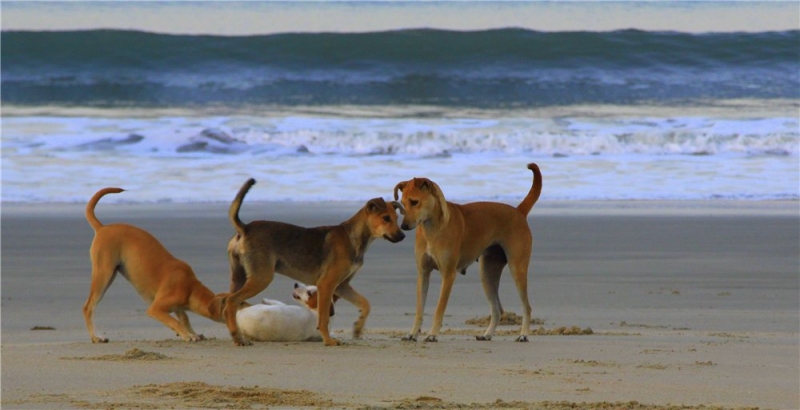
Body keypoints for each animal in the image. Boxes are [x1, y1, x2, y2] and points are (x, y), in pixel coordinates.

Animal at [83, 188, 227, 342]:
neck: (190, 287)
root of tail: (102, 228)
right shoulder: (155, 308)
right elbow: (175, 321)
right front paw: (187, 335)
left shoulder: (177, 307)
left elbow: (184, 318)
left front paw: (193, 333)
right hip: (103, 274)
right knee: (88, 307)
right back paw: (96, 337)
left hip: (110, 275)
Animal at [211, 179, 406, 346]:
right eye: (386, 218)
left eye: (396, 218)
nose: (403, 235)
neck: (354, 237)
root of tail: (245, 228)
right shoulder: (327, 285)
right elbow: (324, 318)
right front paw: (328, 341)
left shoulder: (342, 286)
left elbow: (365, 304)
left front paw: (358, 328)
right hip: (261, 278)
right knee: (231, 302)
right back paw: (238, 338)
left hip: (239, 277)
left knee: (229, 304)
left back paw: (237, 336)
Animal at [394, 163, 544, 342]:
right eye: (402, 204)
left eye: (414, 202)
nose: (403, 226)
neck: (432, 228)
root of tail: (518, 211)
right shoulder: (423, 274)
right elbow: (419, 309)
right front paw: (412, 333)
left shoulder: (448, 275)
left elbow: (439, 308)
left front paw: (432, 334)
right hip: (487, 273)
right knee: (497, 309)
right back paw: (487, 334)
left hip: (517, 268)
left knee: (526, 307)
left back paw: (523, 334)